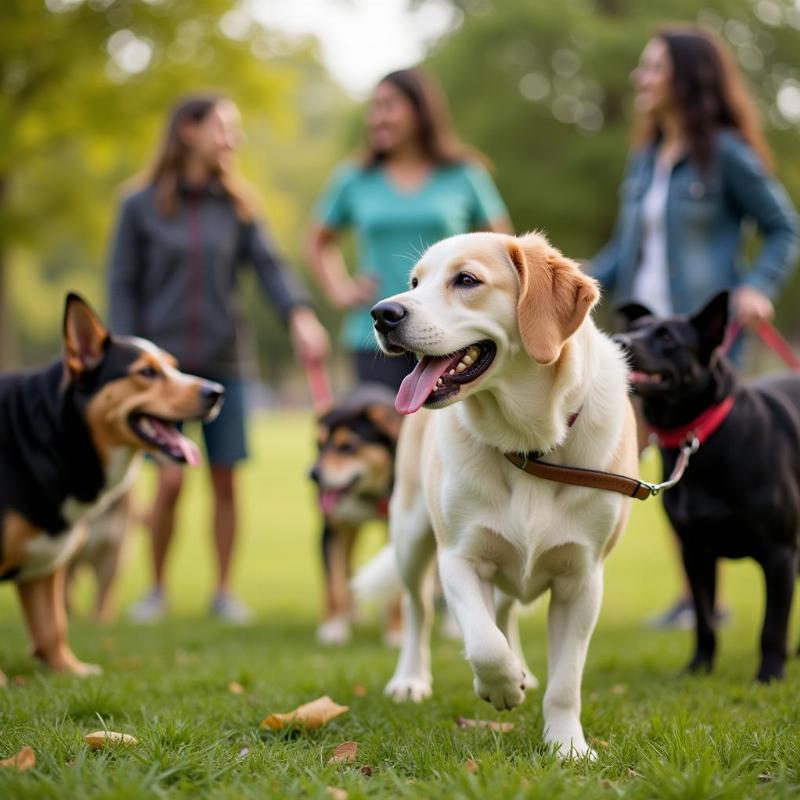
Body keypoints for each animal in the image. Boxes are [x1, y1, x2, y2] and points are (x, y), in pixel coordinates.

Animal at [0, 294, 222, 676]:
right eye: (146, 373)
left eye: (174, 366)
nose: (217, 392)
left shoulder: (48, 562)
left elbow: (52, 625)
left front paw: (69, 671)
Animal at [310, 382, 404, 644]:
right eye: (319, 445)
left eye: (348, 447)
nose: (313, 474)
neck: (369, 495)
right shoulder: (331, 531)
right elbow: (334, 586)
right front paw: (333, 628)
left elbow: (397, 594)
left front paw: (396, 632)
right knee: (346, 568)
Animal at [368, 230, 636, 756]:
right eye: (415, 282)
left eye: (466, 280)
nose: (383, 313)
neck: (530, 445)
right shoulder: (460, 557)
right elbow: (484, 642)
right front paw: (501, 685)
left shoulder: (582, 579)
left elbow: (566, 682)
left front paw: (567, 745)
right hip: (410, 535)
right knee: (417, 611)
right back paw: (411, 679)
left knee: (508, 611)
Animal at [616, 292, 796, 680]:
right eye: (636, 328)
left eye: (667, 337)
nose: (620, 341)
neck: (700, 437)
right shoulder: (695, 553)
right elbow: (703, 620)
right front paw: (698, 667)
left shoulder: (780, 553)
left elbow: (772, 625)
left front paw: (769, 674)